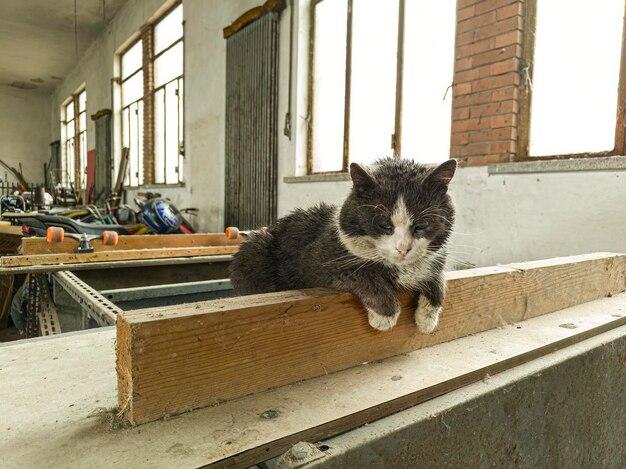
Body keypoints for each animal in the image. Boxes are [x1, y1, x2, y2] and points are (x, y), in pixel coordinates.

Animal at [228, 158, 454, 332]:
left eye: (421, 226)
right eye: (384, 225)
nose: (403, 248)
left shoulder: (436, 260)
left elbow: (438, 279)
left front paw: (426, 320)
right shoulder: (316, 263)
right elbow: (363, 274)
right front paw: (385, 316)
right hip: (255, 249)